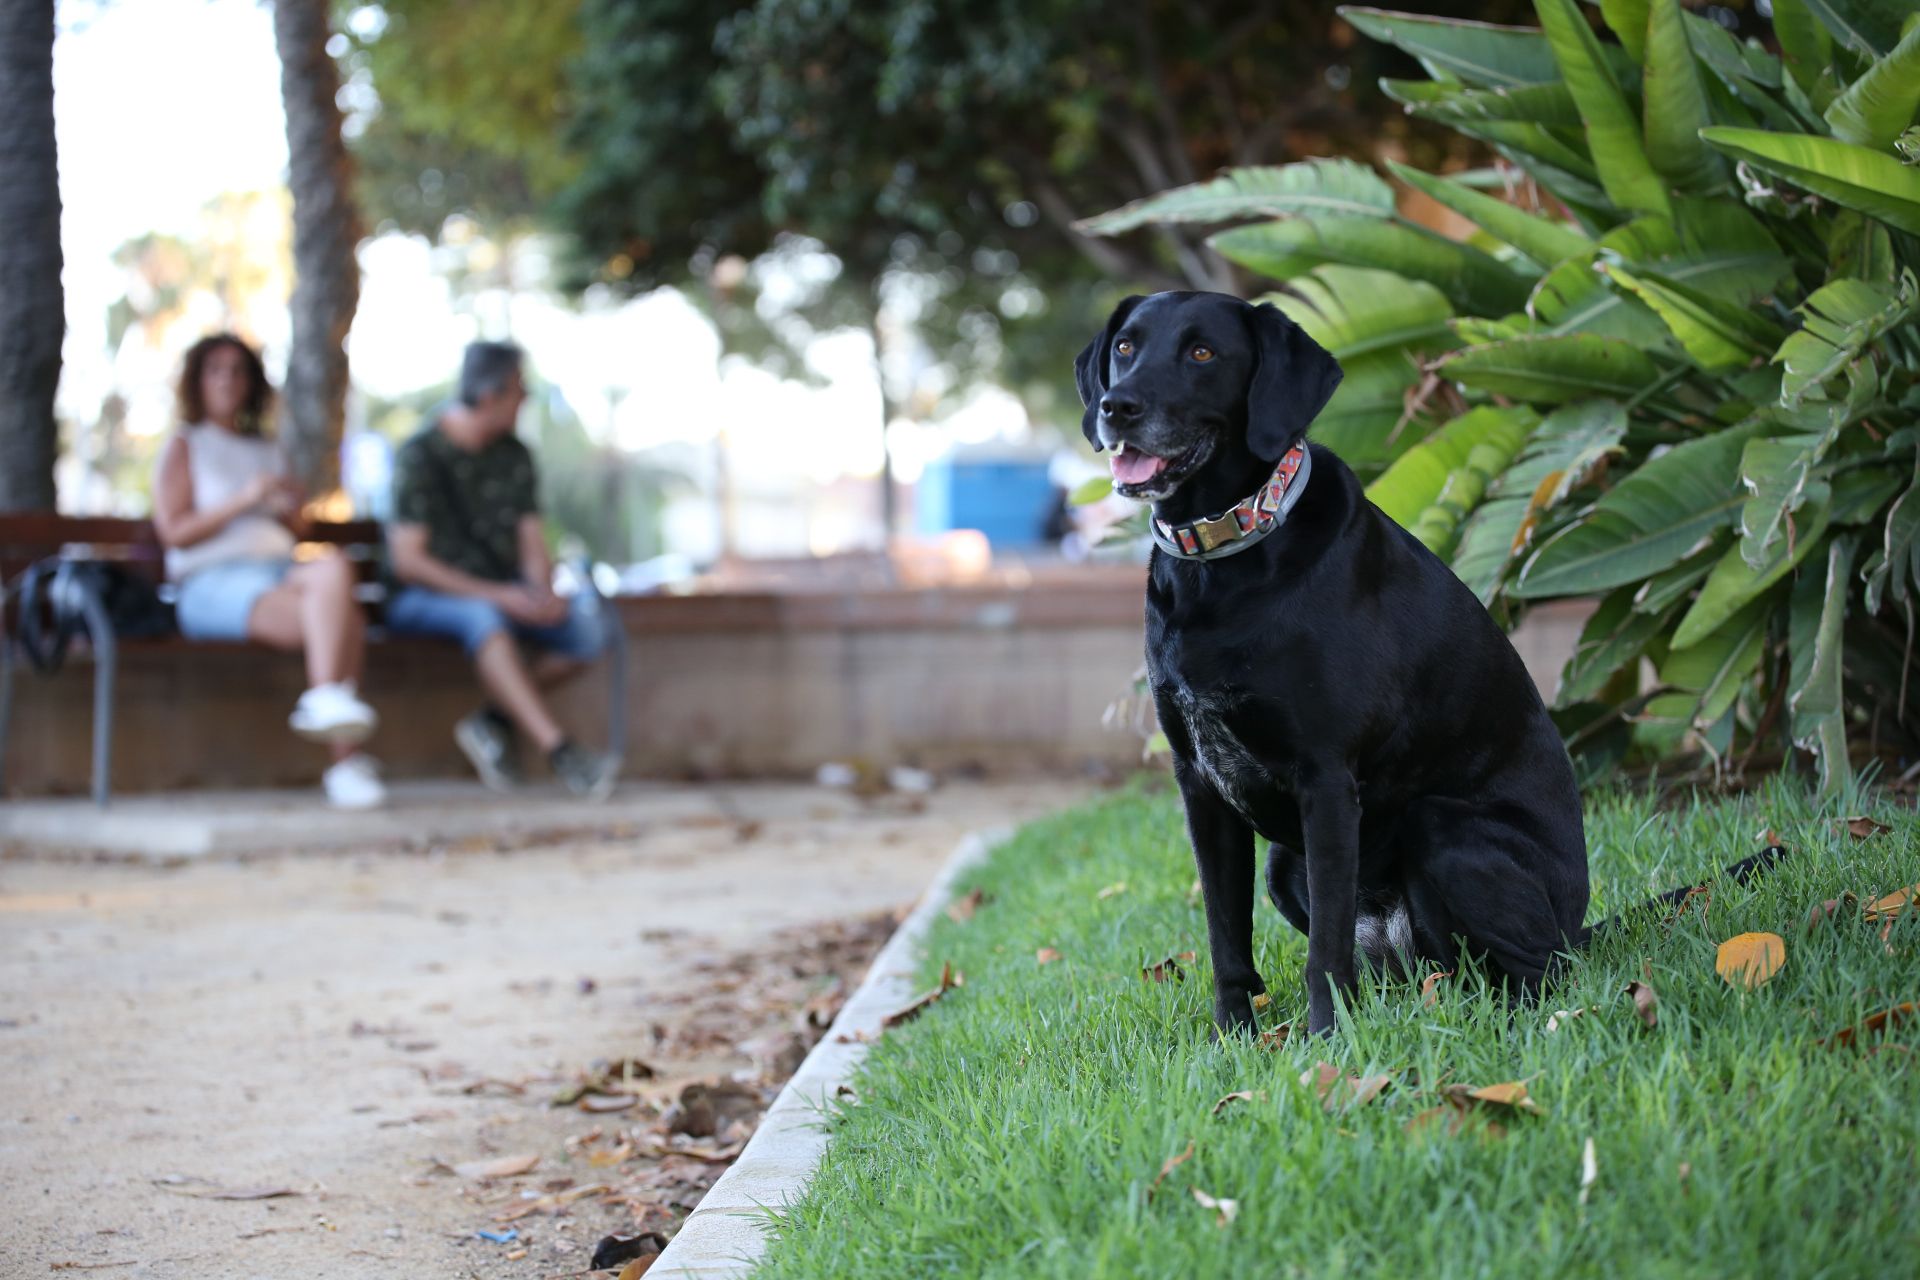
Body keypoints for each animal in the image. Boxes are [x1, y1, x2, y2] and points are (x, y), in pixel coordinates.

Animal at [1075, 293, 1774, 1043]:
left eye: (1202, 353)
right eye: (1125, 347)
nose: (1117, 406)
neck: (1226, 554)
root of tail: (1578, 924)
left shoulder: (1326, 779)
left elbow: (1324, 950)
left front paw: (1324, 1044)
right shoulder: (1201, 785)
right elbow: (1224, 936)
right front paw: (1233, 1041)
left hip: (1442, 828)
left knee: (1537, 971)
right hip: (1288, 863)